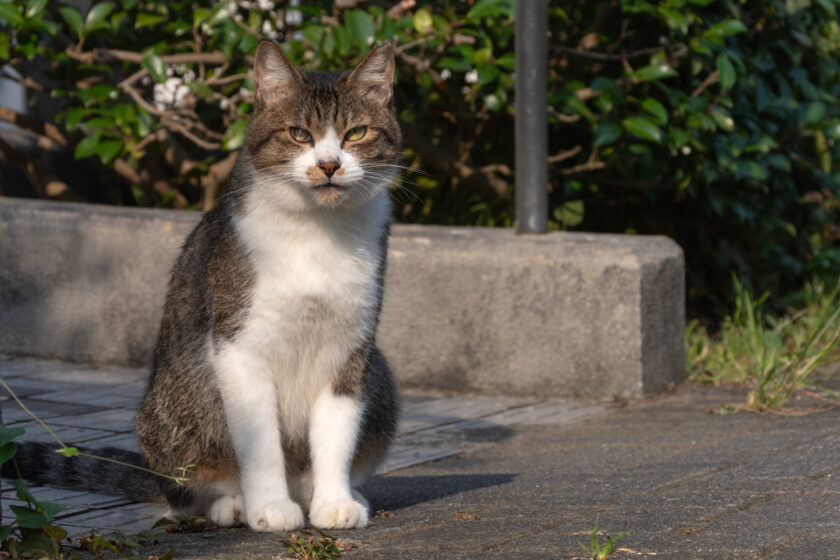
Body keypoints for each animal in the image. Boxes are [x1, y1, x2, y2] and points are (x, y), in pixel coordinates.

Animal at [2, 41, 400, 532]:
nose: (329, 165)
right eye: (299, 134)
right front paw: (269, 506)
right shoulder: (236, 344)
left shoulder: (352, 346)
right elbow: (259, 441)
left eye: (356, 133)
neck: (318, 232)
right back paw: (234, 504)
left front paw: (335, 501)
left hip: (382, 378)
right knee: (187, 493)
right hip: (179, 400)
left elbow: (337, 434)